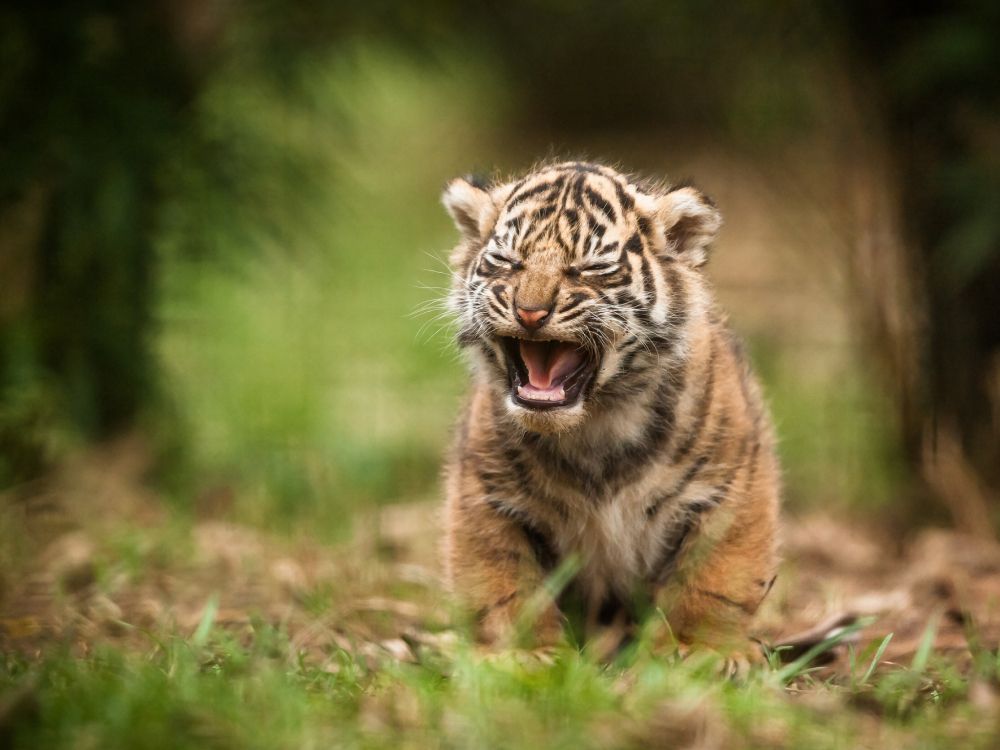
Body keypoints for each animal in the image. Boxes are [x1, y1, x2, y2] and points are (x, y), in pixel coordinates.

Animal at [439, 161, 780, 668]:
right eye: (507, 262)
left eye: (589, 269)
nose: (530, 312)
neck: (596, 422)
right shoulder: (485, 493)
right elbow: (504, 584)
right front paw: (526, 653)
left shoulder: (731, 485)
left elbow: (715, 578)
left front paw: (700, 651)